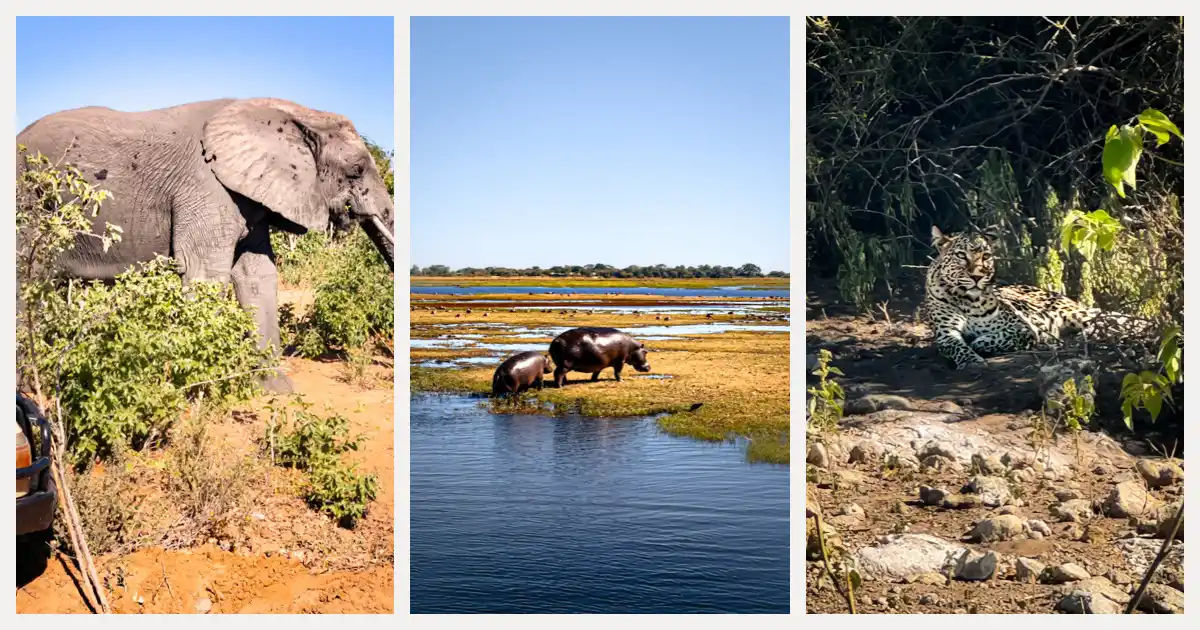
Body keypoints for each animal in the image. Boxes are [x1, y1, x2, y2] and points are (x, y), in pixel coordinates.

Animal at [15, 98, 395, 393]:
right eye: (357, 169)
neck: (294, 113)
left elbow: (257, 276)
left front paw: (276, 390)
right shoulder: (204, 186)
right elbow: (206, 274)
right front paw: (201, 390)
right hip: (28, 201)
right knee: (27, 280)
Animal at [921, 225, 1152, 370]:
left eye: (986, 256)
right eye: (961, 255)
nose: (978, 276)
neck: (966, 299)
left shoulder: (1023, 328)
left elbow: (992, 339)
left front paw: (977, 344)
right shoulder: (946, 334)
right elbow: (957, 347)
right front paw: (971, 361)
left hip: (1077, 314)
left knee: (1115, 321)